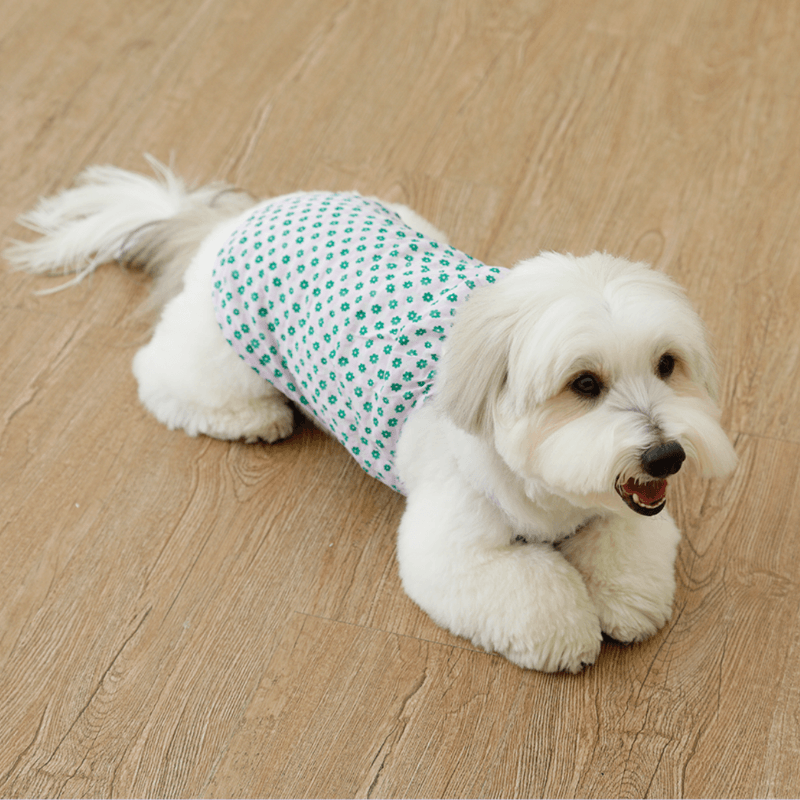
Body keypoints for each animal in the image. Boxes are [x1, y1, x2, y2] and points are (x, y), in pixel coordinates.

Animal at [6, 159, 736, 672]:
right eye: (583, 383)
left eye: (667, 364)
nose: (666, 455)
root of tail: (224, 223)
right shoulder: (456, 548)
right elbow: (532, 589)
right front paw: (570, 632)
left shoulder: (622, 510)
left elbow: (627, 549)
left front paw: (623, 602)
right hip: (221, 354)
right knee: (163, 375)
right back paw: (251, 417)